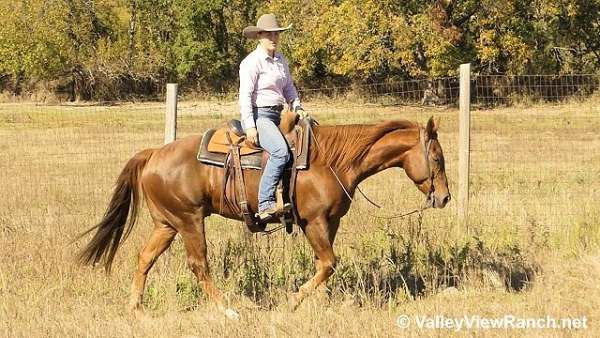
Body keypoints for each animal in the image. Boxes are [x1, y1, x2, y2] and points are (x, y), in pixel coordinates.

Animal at [76, 114, 450, 316]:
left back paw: (136, 309)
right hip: (189, 220)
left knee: (144, 258)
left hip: (167, 223)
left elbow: (325, 266)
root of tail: (153, 153)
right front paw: (293, 301)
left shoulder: (331, 222)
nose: (445, 197)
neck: (332, 160)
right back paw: (228, 309)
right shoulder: (313, 222)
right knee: (198, 265)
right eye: (437, 158)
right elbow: (329, 263)